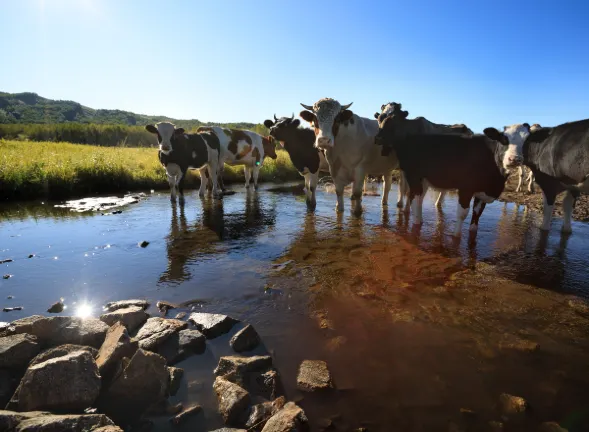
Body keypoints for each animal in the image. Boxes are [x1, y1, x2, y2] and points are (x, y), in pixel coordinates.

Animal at [374, 108, 532, 236]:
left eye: (527, 141)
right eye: (503, 138)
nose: (515, 159)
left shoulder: (482, 194)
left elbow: (476, 217)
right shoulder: (466, 188)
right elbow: (462, 214)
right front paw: (456, 238)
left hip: (423, 179)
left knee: (416, 197)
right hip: (413, 175)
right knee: (415, 199)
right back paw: (417, 224)